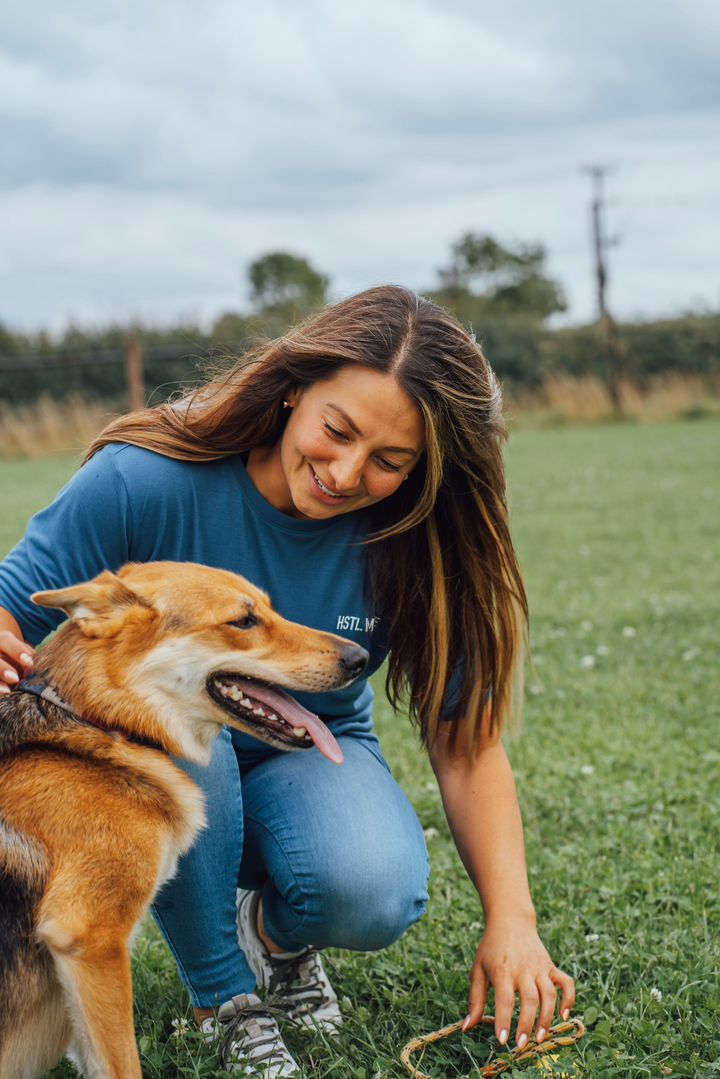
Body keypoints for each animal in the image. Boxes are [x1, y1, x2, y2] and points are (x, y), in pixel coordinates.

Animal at [0, 561, 369, 1079]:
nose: (362, 657)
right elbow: (121, 1063)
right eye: (243, 621)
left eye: (270, 608)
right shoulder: (90, 940)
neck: (99, 723)